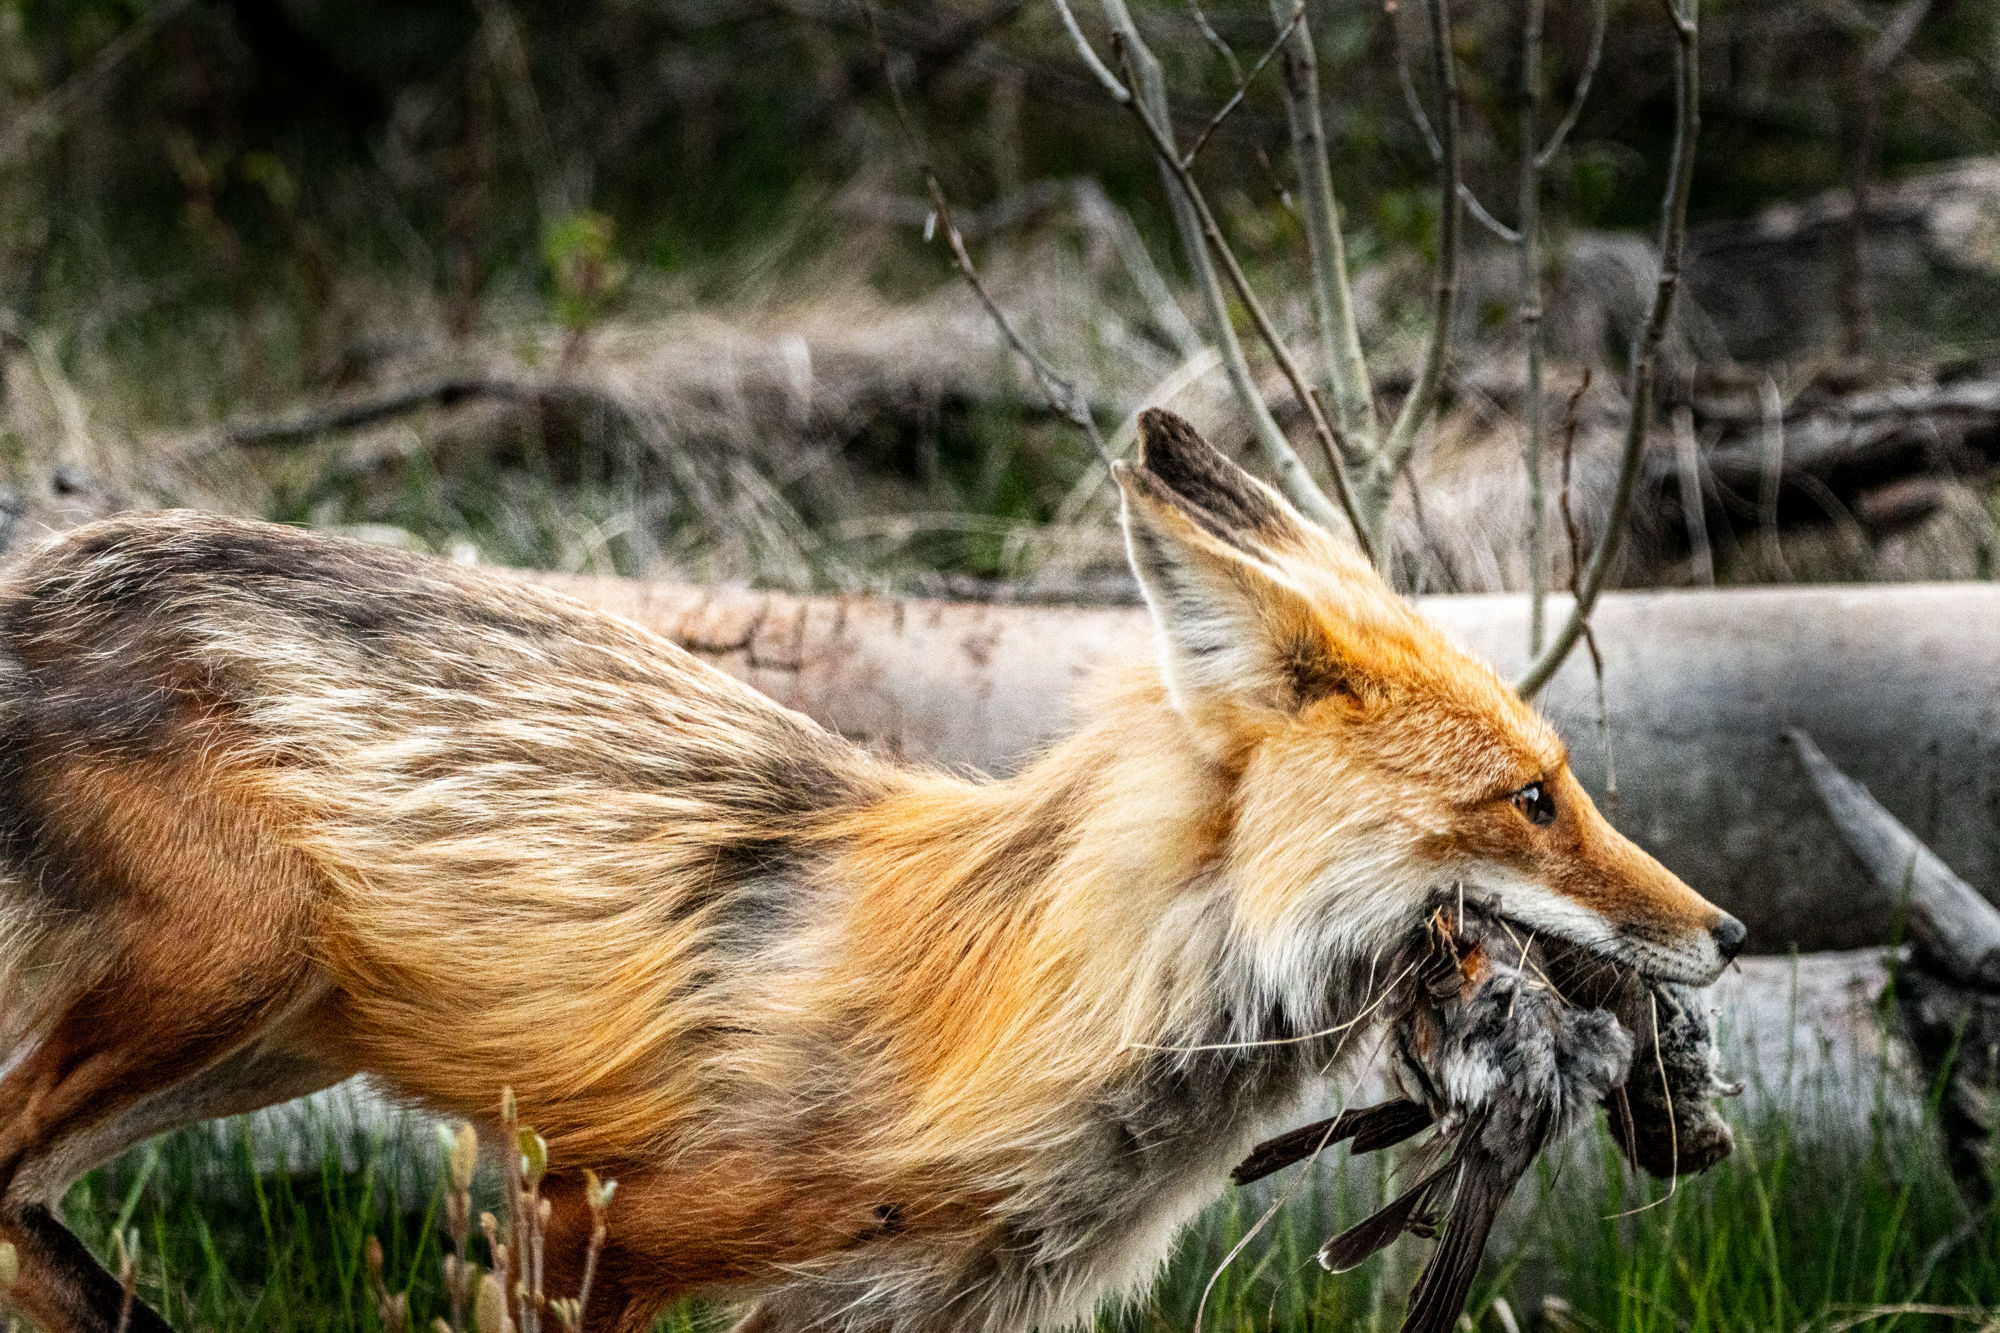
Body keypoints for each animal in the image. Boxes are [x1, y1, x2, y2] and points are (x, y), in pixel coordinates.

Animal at [0, 409, 1742, 1333]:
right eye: (1534, 799)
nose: (1727, 934)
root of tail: (57, 559)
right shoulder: (581, 1225)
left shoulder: (899, 1305)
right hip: (226, 976)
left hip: (264, 1041)